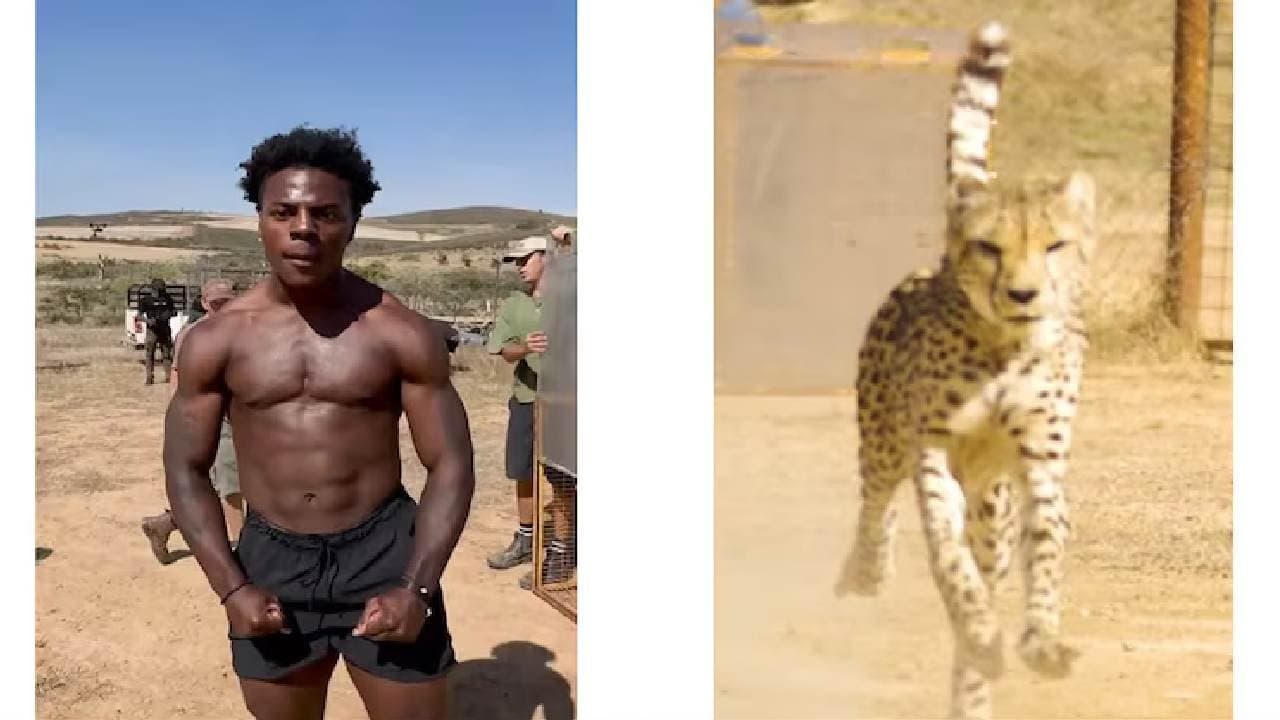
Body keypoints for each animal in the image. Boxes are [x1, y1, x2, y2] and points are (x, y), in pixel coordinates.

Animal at [832, 20, 1097, 720]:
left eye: (1055, 245)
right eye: (990, 247)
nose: (1023, 294)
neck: (1003, 345)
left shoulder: (1039, 464)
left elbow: (1045, 550)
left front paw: (1040, 641)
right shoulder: (933, 453)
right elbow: (949, 562)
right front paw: (979, 624)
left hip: (992, 505)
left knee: (990, 554)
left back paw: (973, 688)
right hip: (885, 436)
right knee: (875, 504)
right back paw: (865, 573)